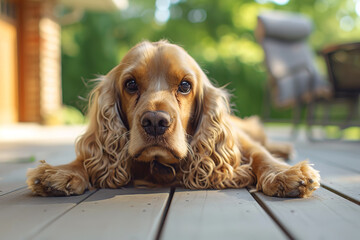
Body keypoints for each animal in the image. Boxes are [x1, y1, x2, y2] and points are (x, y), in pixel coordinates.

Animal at [28, 39, 320, 197]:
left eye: (185, 85)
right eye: (130, 84)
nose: (155, 122)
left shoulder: (241, 143)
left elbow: (260, 155)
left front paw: (285, 175)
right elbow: (86, 159)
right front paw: (60, 173)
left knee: (267, 142)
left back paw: (286, 149)